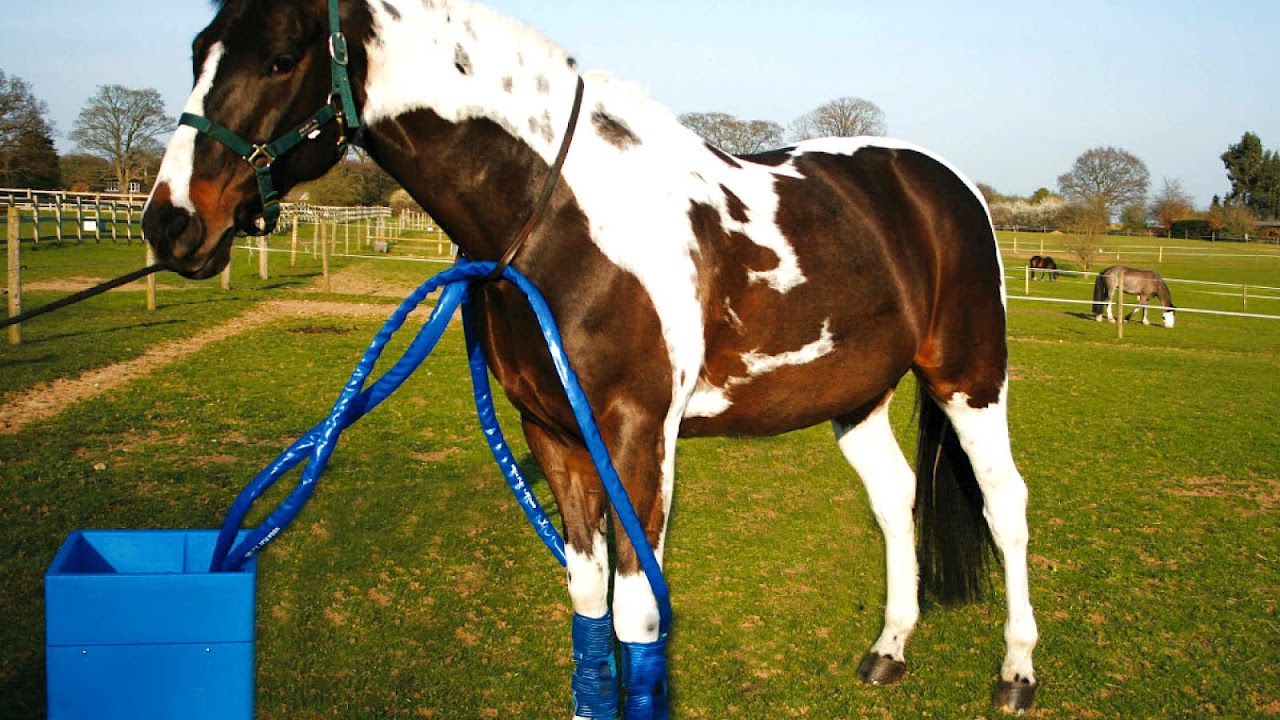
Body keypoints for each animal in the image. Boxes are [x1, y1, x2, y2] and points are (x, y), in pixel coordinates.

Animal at [140, 0, 1039, 715]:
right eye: (199, 51)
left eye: (280, 58)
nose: (171, 223)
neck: (562, 221)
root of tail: (941, 182)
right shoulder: (553, 436)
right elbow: (588, 607)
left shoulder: (638, 437)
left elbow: (639, 616)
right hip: (852, 399)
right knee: (895, 500)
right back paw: (889, 651)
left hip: (970, 379)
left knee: (1005, 506)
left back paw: (1017, 672)